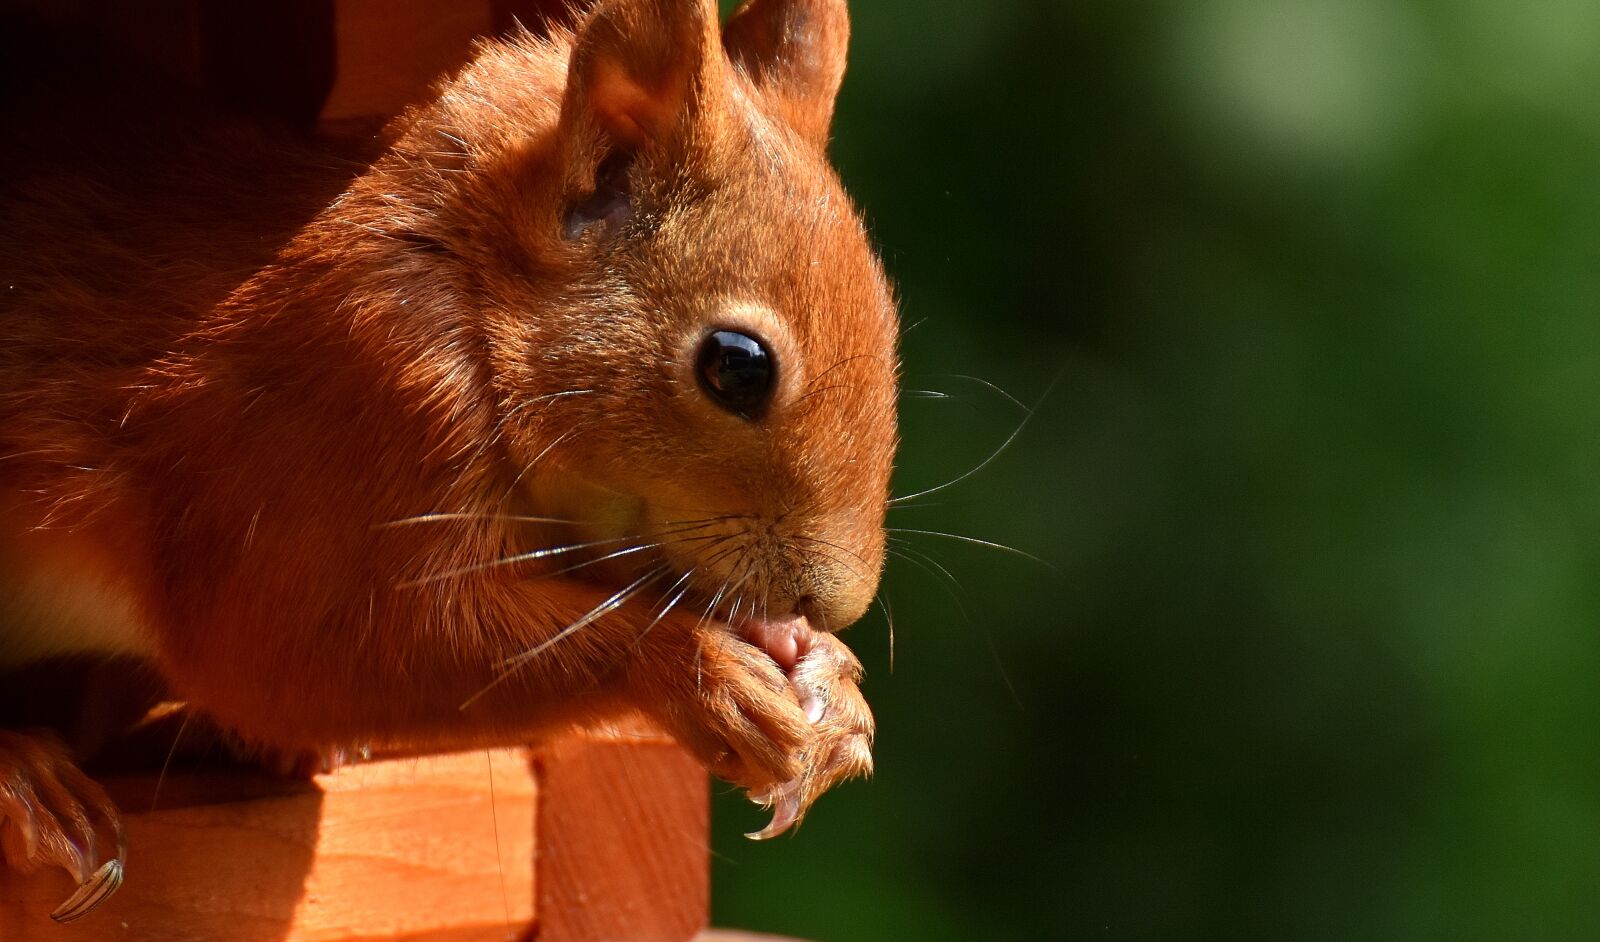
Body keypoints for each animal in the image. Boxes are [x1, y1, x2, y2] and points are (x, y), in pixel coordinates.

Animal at [0, 0, 896, 922]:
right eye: (737, 366)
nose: (828, 602)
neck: (468, 281)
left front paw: (832, 687)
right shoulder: (323, 421)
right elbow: (306, 650)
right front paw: (704, 673)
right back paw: (30, 783)